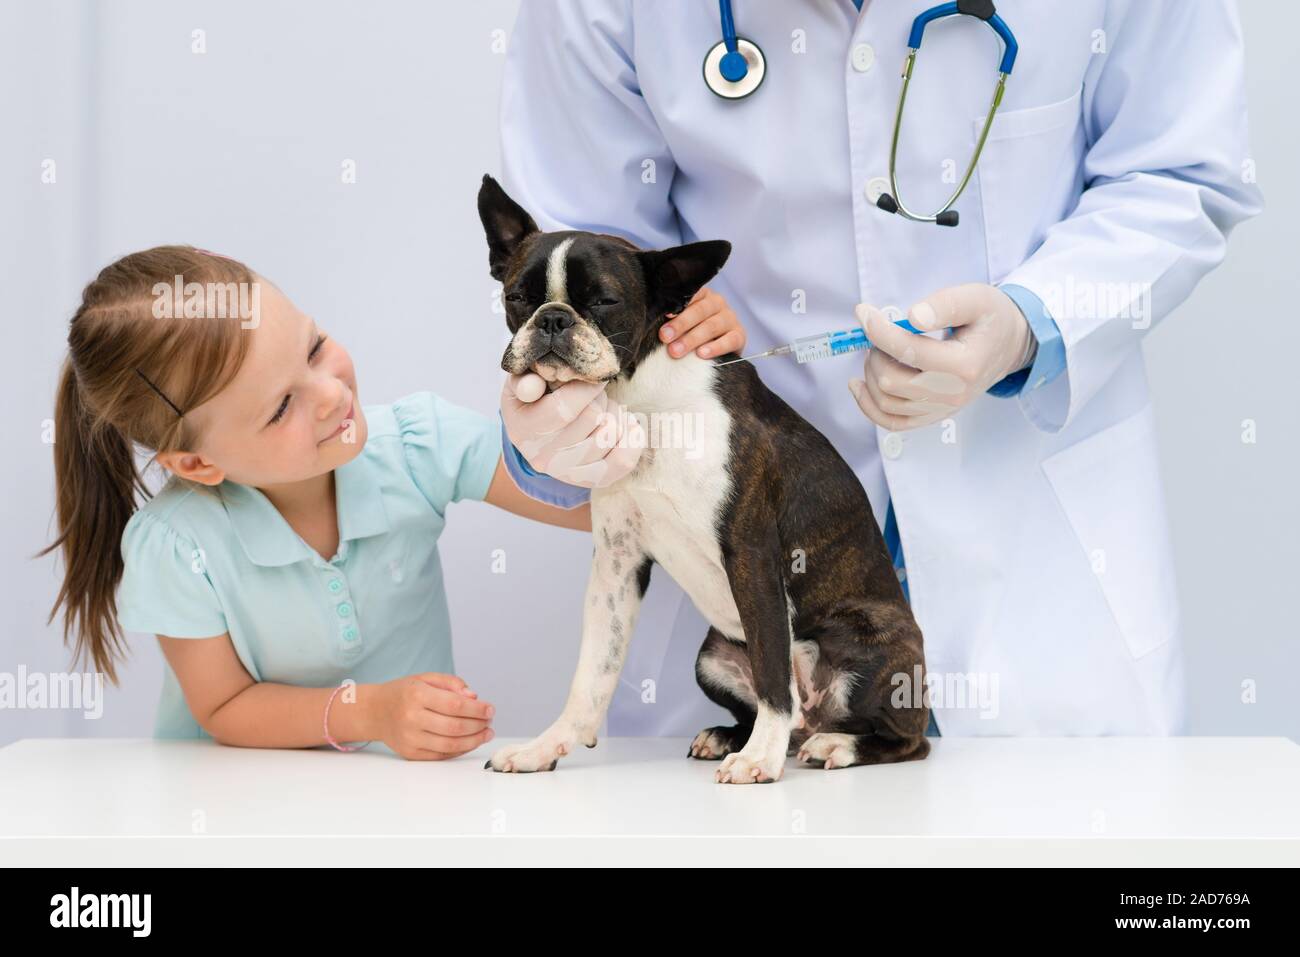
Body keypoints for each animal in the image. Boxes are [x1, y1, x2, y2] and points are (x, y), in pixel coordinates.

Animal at [483, 174, 930, 785]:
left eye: (604, 301)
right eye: (518, 297)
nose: (552, 318)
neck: (642, 403)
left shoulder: (753, 556)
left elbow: (773, 672)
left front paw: (760, 760)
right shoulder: (617, 567)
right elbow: (592, 673)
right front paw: (547, 745)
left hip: (870, 644)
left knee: (903, 737)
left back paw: (832, 745)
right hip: (712, 657)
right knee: (781, 708)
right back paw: (732, 736)